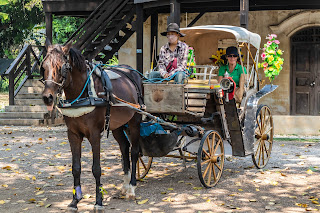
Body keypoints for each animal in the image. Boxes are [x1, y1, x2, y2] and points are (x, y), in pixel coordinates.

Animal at [42, 40, 142, 211]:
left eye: (62, 67)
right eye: (43, 66)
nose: (47, 97)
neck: (83, 94)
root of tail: (132, 72)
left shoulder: (95, 134)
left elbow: (96, 169)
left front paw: (98, 202)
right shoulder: (73, 134)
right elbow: (76, 168)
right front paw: (75, 201)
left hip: (135, 120)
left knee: (134, 151)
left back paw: (132, 187)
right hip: (117, 125)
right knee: (124, 147)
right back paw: (125, 184)